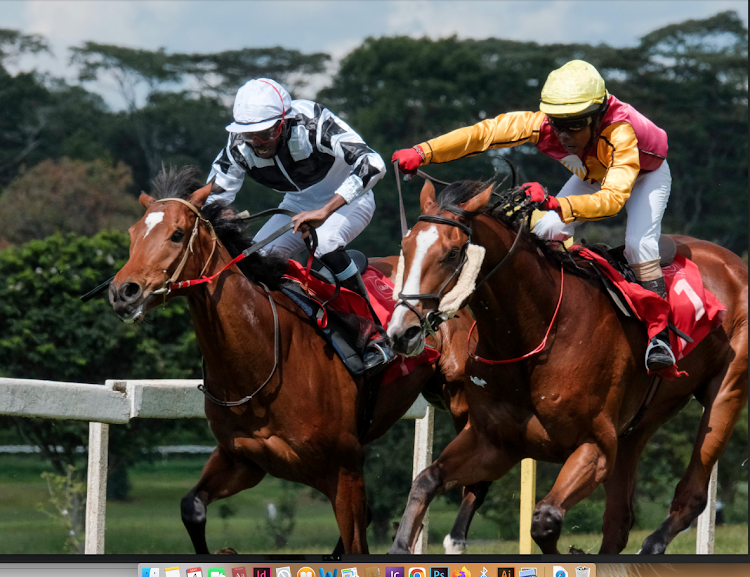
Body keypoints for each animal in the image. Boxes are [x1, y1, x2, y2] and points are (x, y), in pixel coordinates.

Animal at [108, 164, 478, 552]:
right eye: (133, 233)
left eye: (177, 234)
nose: (123, 291)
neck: (263, 363)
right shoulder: (242, 459)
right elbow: (191, 507)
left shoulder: (344, 470)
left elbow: (357, 541)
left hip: (460, 400)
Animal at [384, 179, 748, 552]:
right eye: (406, 247)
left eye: (453, 252)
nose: (401, 332)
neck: (535, 334)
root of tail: (732, 262)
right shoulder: (494, 443)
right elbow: (426, 480)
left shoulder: (595, 447)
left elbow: (545, 520)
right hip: (636, 427)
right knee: (619, 520)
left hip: (726, 392)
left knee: (691, 494)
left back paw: (653, 545)